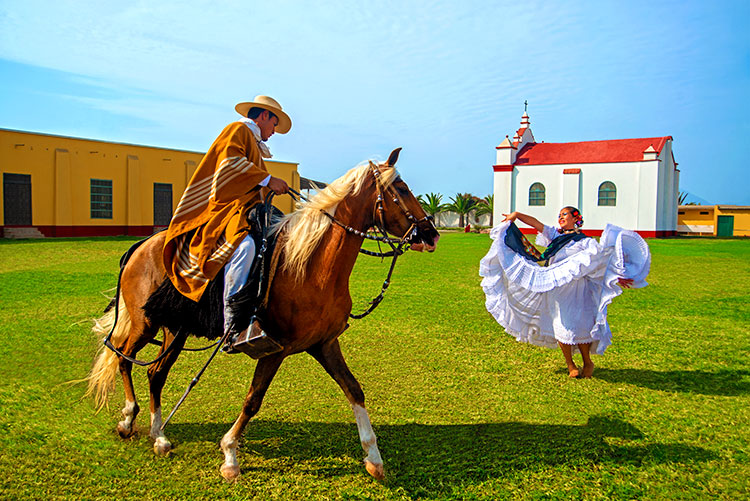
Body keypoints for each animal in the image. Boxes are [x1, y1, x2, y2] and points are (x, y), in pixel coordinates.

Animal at [86, 148, 440, 480]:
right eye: (401, 188)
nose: (431, 234)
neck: (309, 266)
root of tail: (141, 245)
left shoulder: (324, 344)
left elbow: (354, 389)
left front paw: (374, 457)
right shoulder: (273, 349)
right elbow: (253, 399)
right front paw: (230, 455)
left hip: (176, 329)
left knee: (154, 372)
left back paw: (158, 434)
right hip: (146, 323)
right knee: (123, 357)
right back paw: (131, 418)